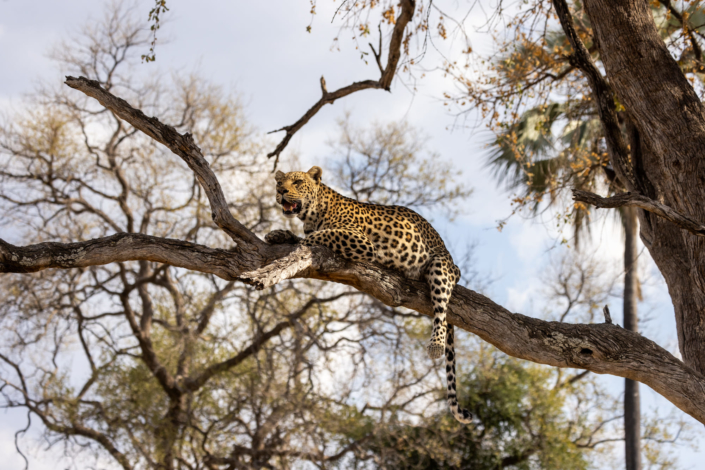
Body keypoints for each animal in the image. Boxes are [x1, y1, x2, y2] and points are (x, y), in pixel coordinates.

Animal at [266, 167, 472, 424]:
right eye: (280, 183)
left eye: (297, 182)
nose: (282, 191)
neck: (313, 213)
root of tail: (453, 264)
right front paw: (278, 234)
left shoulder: (360, 240)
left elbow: (319, 236)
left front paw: (293, 237)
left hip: (439, 267)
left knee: (441, 311)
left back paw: (436, 344)